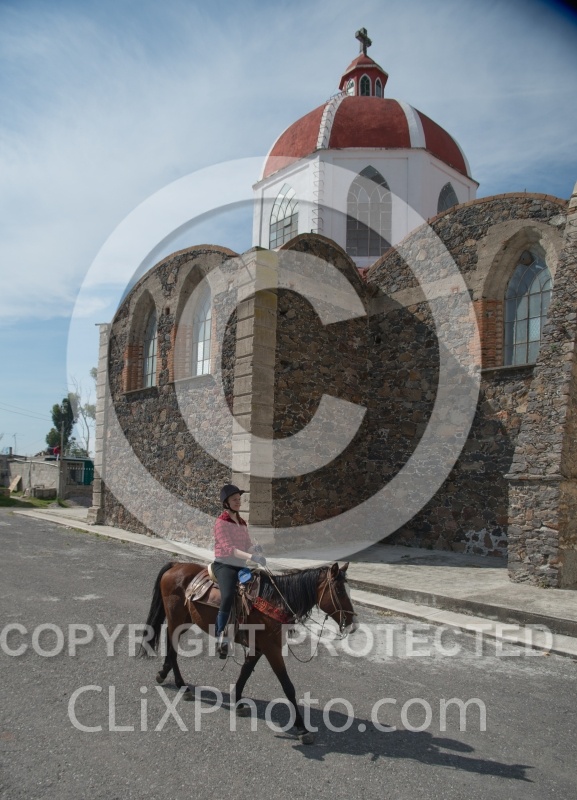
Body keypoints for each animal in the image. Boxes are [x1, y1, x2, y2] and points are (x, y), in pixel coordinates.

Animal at [140, 560, 357, 744]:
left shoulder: (259, 648)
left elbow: (244, 673)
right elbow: (288, 686)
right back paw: (182, 686)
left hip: (184, 620)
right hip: (176, 619)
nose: (353, 624)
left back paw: (165, 675)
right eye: (339, 590)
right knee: (171, 648)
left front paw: (238, 702)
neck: (276, 600)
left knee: (170, 646)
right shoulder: (272, 649)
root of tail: (176, 565)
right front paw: (302, 728)